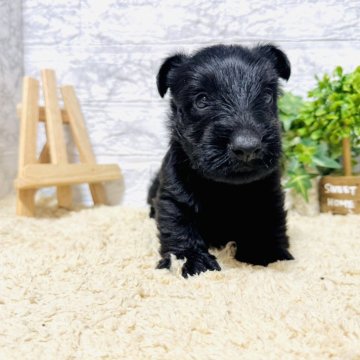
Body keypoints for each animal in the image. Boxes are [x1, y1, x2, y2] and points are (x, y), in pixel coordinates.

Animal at [148, 43, 294, 278]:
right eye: (202, 100)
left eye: (266, 95)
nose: (247, 147)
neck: (225, 187)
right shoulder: (174, 198)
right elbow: (180, 228)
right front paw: (193, 262)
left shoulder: (270, 194)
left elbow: (269, 220)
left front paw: (267, 253)